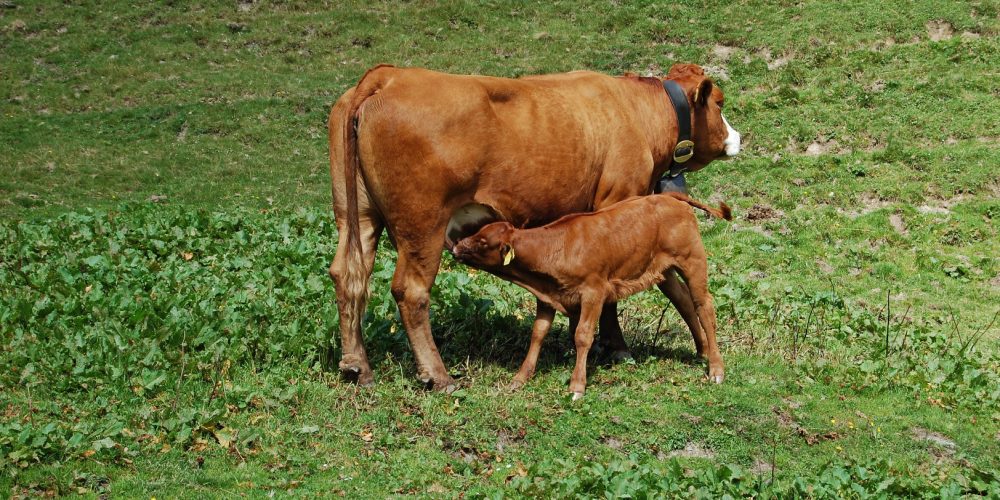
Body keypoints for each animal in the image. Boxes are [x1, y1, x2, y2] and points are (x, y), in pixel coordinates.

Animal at [452, 192, 732, 399]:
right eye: (476, 233)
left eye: (482, 242)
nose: (455, 247)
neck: (555, 248)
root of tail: (670, 196)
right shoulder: (547, 297)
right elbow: (538, 333)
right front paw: (520, 378)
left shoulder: (594, 292)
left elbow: (583, 335)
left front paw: (577, 386)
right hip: (664, 271)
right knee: (684, 302)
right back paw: (702, 351)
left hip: (693, 261)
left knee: (704, 306)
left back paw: (716, 368)